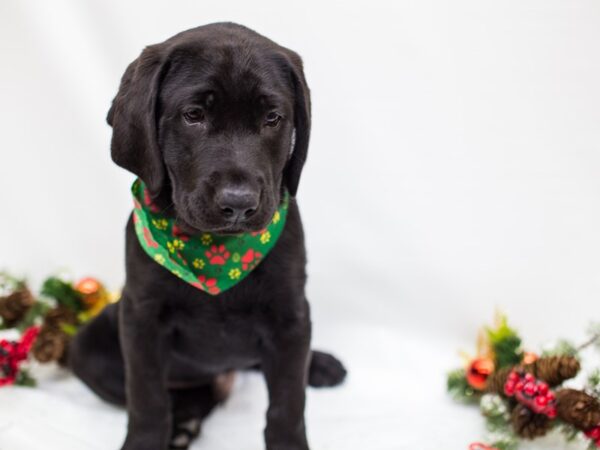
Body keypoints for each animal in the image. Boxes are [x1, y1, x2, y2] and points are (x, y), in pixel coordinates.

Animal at [69, 22, 346, 450]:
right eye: (193, 115)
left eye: (272, 118)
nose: (239, 204)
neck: (215, 254)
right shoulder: (140, 315)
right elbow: (147, 398)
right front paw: (145, 440)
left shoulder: (289, 312)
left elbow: (287, 402)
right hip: (88, 346)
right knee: (193, 394)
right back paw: (183, 424)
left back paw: (319, 364)